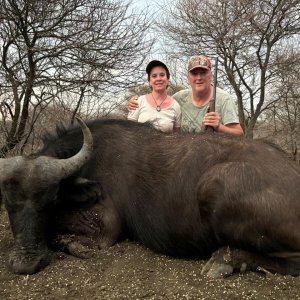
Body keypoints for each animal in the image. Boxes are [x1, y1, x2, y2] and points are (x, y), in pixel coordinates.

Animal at [0, 117, 300, 276]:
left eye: (50, 200)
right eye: (9, 204)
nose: (26, 263)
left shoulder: (106, 229)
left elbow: (63, 236)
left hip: (215, 187)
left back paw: (226, 259)